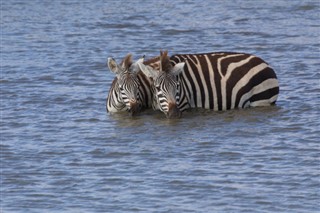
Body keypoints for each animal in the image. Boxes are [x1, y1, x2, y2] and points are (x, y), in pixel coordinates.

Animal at [138, 51, 280, 119]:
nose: (174, 115)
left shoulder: (184, 104)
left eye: (177, 86)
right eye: (157, 88)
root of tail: (266, 64)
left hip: (261, 100)